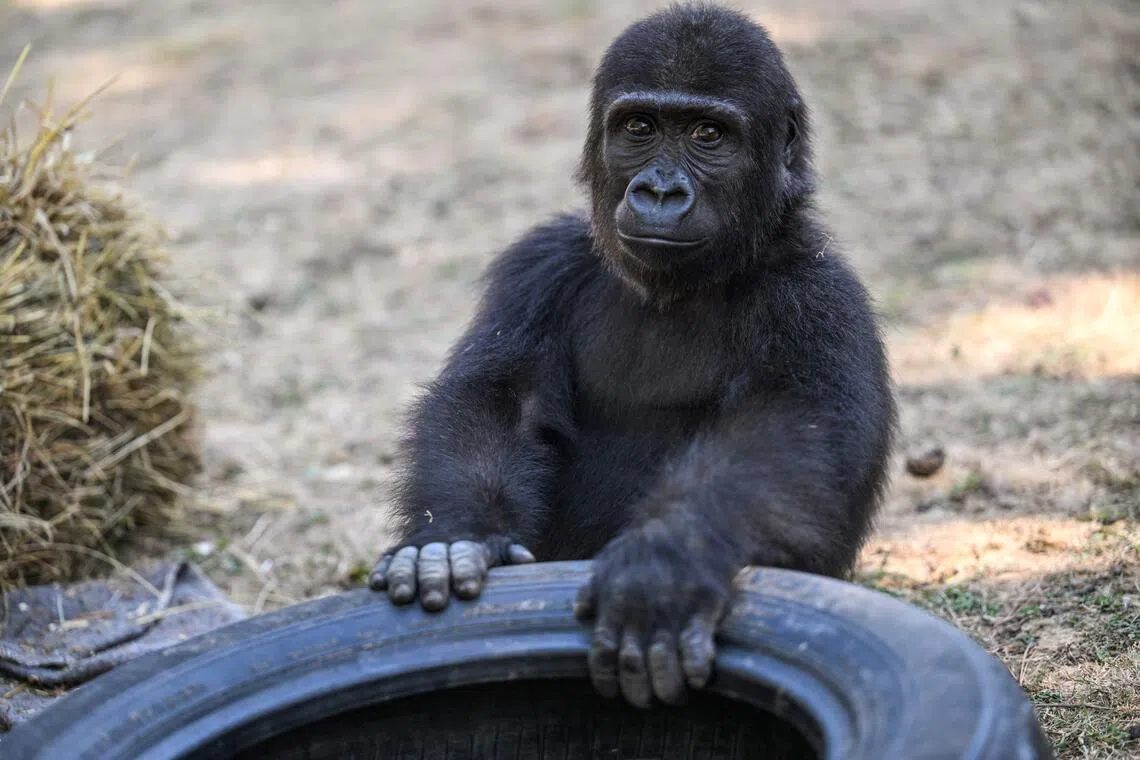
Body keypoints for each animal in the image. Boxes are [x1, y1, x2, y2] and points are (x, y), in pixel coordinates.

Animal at [369, 2, 896, 709]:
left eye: (708, 134)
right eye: (640, 127)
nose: (660, 191)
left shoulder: (818, 299)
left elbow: (789, 431)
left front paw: (665, 562)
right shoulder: (542, 266)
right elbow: (500, 404)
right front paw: (453, 536)